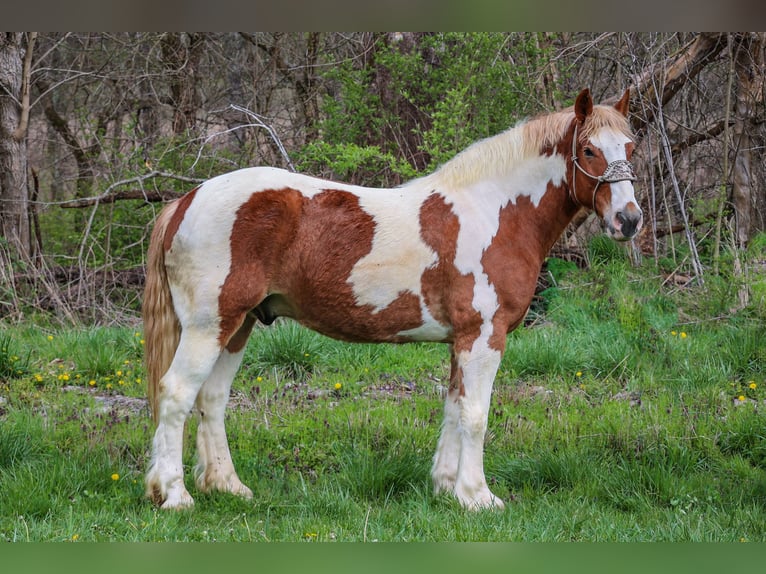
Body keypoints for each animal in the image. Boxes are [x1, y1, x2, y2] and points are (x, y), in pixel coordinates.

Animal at [142, 89, 640, 512]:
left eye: (630, 148)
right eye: (590, 150)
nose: (629, 220)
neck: (494, 213)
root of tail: (186, 201)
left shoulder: (461, 340)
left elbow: (454, 408)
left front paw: (446, 488)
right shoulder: (483, 336)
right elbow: (476, 415)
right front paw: (479, 497)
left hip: (238, 325)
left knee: (212, 399)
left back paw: (227, 486)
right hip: (209, 326)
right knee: (177, 393)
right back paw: (175, 495)